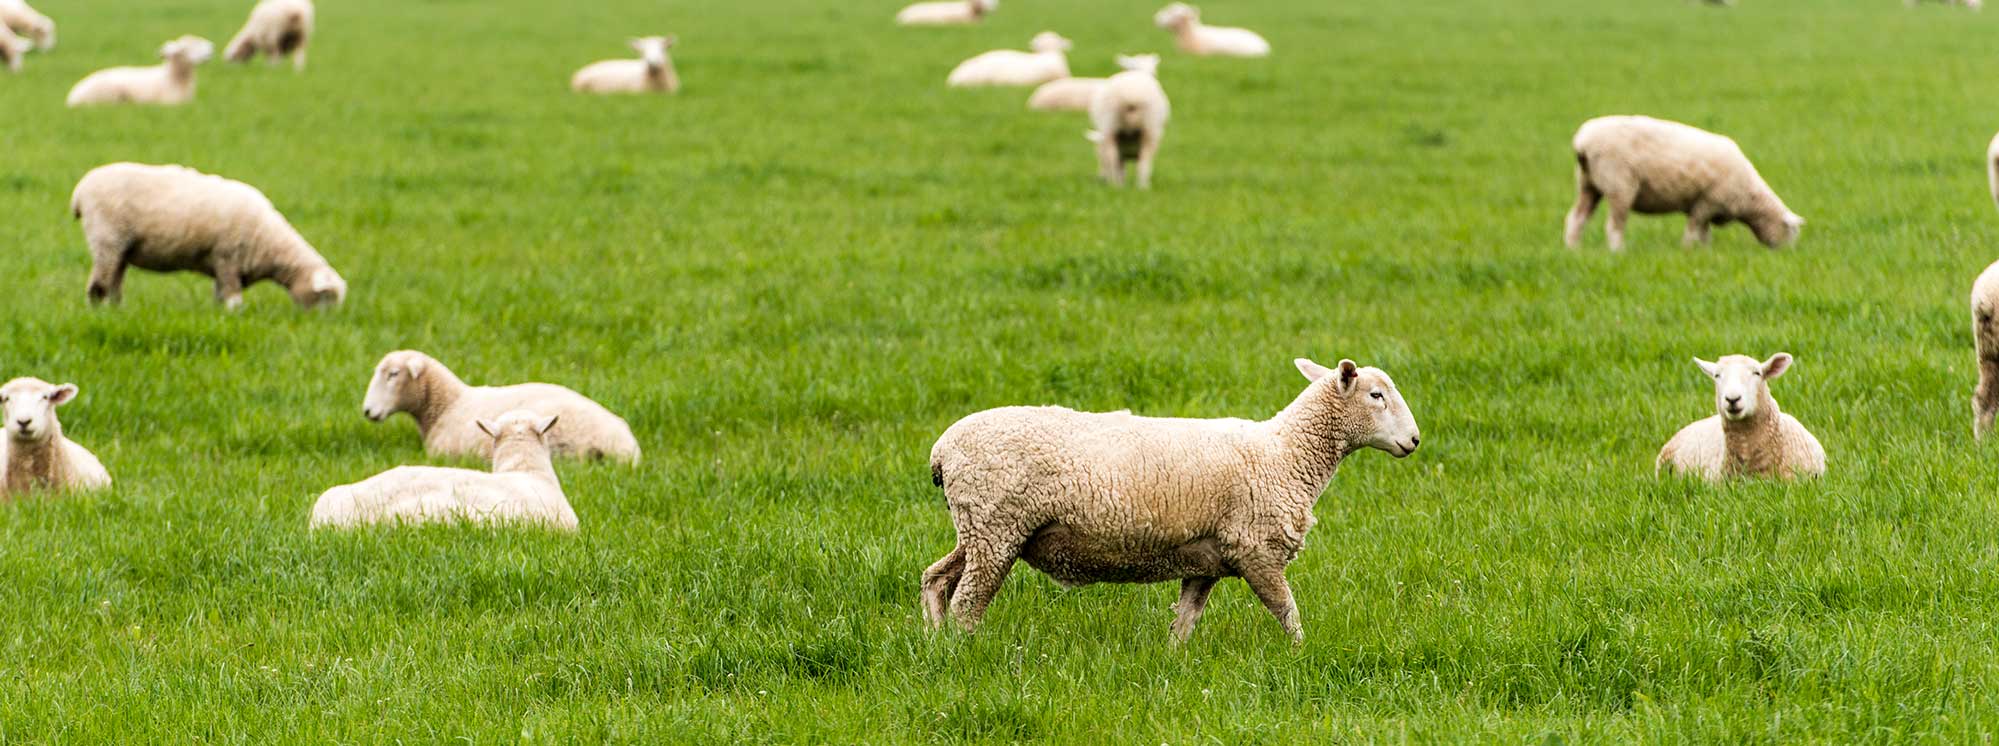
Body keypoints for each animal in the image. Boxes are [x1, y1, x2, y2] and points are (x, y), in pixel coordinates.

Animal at [71, 162, 347, 310]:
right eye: (326, 297)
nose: (323, 323)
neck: (271, 244)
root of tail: (80, 190)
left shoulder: (222, 265)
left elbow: (219, 295)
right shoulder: (227, 259)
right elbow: (233, 298)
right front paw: (235, 315)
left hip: (120, 248)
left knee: (114, 282)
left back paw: (116, 310)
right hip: (106, 238)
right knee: (98, 285)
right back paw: (97, 311)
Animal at [921, 357, 1422, 644]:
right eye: (1376, 395)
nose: (1415, 440)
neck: (1284, 453)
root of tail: (941, 450)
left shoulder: (1208, 560)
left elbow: (1185, 622)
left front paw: (1174, 660)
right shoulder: (1255, 549)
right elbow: (1288, 612)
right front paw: (1302, 653)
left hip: (981, 529)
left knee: (935, 579)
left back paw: (934, 642)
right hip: (996, 526)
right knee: (966, 603)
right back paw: (964, 652)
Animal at [1085, 54, 1169, 189]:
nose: (1101, 179)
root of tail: (1131, 95)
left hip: (1112, 127)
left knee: (1115, 158)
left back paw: (1119, 186)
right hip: (1148, 127)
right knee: (1143, 161)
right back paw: (1140, 186)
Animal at [1565, 115, 1805, 251]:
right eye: (1791, 232)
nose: (1787, 253)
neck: (1751, 199)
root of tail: (1582, 142)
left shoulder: (1708, 207)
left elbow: (1704, 233)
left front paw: (1705, 252)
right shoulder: (1707, 201)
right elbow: (1693, 229)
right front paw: (1688, 250)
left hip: (1588, 184)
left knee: (1576, 219)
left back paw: (1573, 250)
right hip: (1619, 185)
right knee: (1614, 225)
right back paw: (1618, 251)